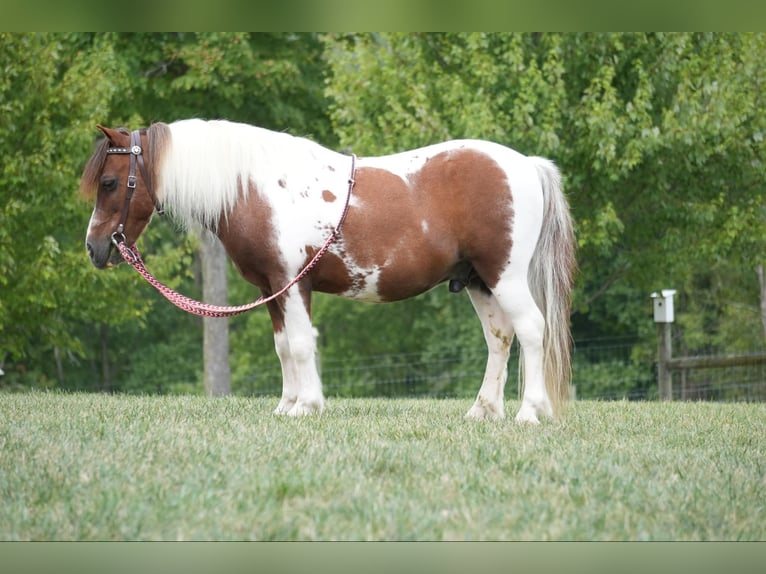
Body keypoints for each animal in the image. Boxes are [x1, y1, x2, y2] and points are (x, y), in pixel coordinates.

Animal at [84, 118, 576, 424]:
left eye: (109, 182)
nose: (94, 247)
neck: (256, 187)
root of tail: (525, 165)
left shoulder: (292, 283)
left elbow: (302, 344)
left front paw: (308, 406)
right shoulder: (272, 289)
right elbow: (283, 347)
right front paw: (287, 405)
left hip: (504, 277)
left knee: (532, 330)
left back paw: (529, 412)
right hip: (478, 281)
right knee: (500, 338)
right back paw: (483, 410)